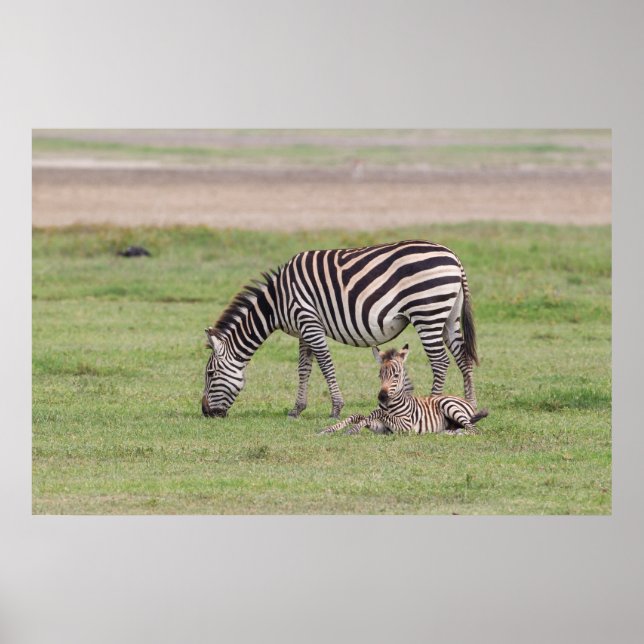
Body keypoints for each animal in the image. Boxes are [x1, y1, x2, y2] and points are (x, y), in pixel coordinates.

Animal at [202, 240, 479, 418]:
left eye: (210, 374)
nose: (205, 412)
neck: (277, 302)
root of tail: (454, 257)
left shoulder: (309, 322)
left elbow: (325, 364)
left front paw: (336, 408)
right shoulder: (303, 331)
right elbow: (304, 369)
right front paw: (297, 409)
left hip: (427, 313)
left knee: (440, 361)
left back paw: (434, 404)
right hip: (448, 317)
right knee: (462, 358)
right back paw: (471, 405)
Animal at [319, 344, 488, 435]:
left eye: (396, 375)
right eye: (380, 375)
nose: (382, 397)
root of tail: (465, 401)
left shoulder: (405, 425)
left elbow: (377, 412)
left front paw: (352, 430)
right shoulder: (382, 428)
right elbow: (358, 415)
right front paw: (329, 429)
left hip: (448, 405)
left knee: (474, 430)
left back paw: (449, 434)